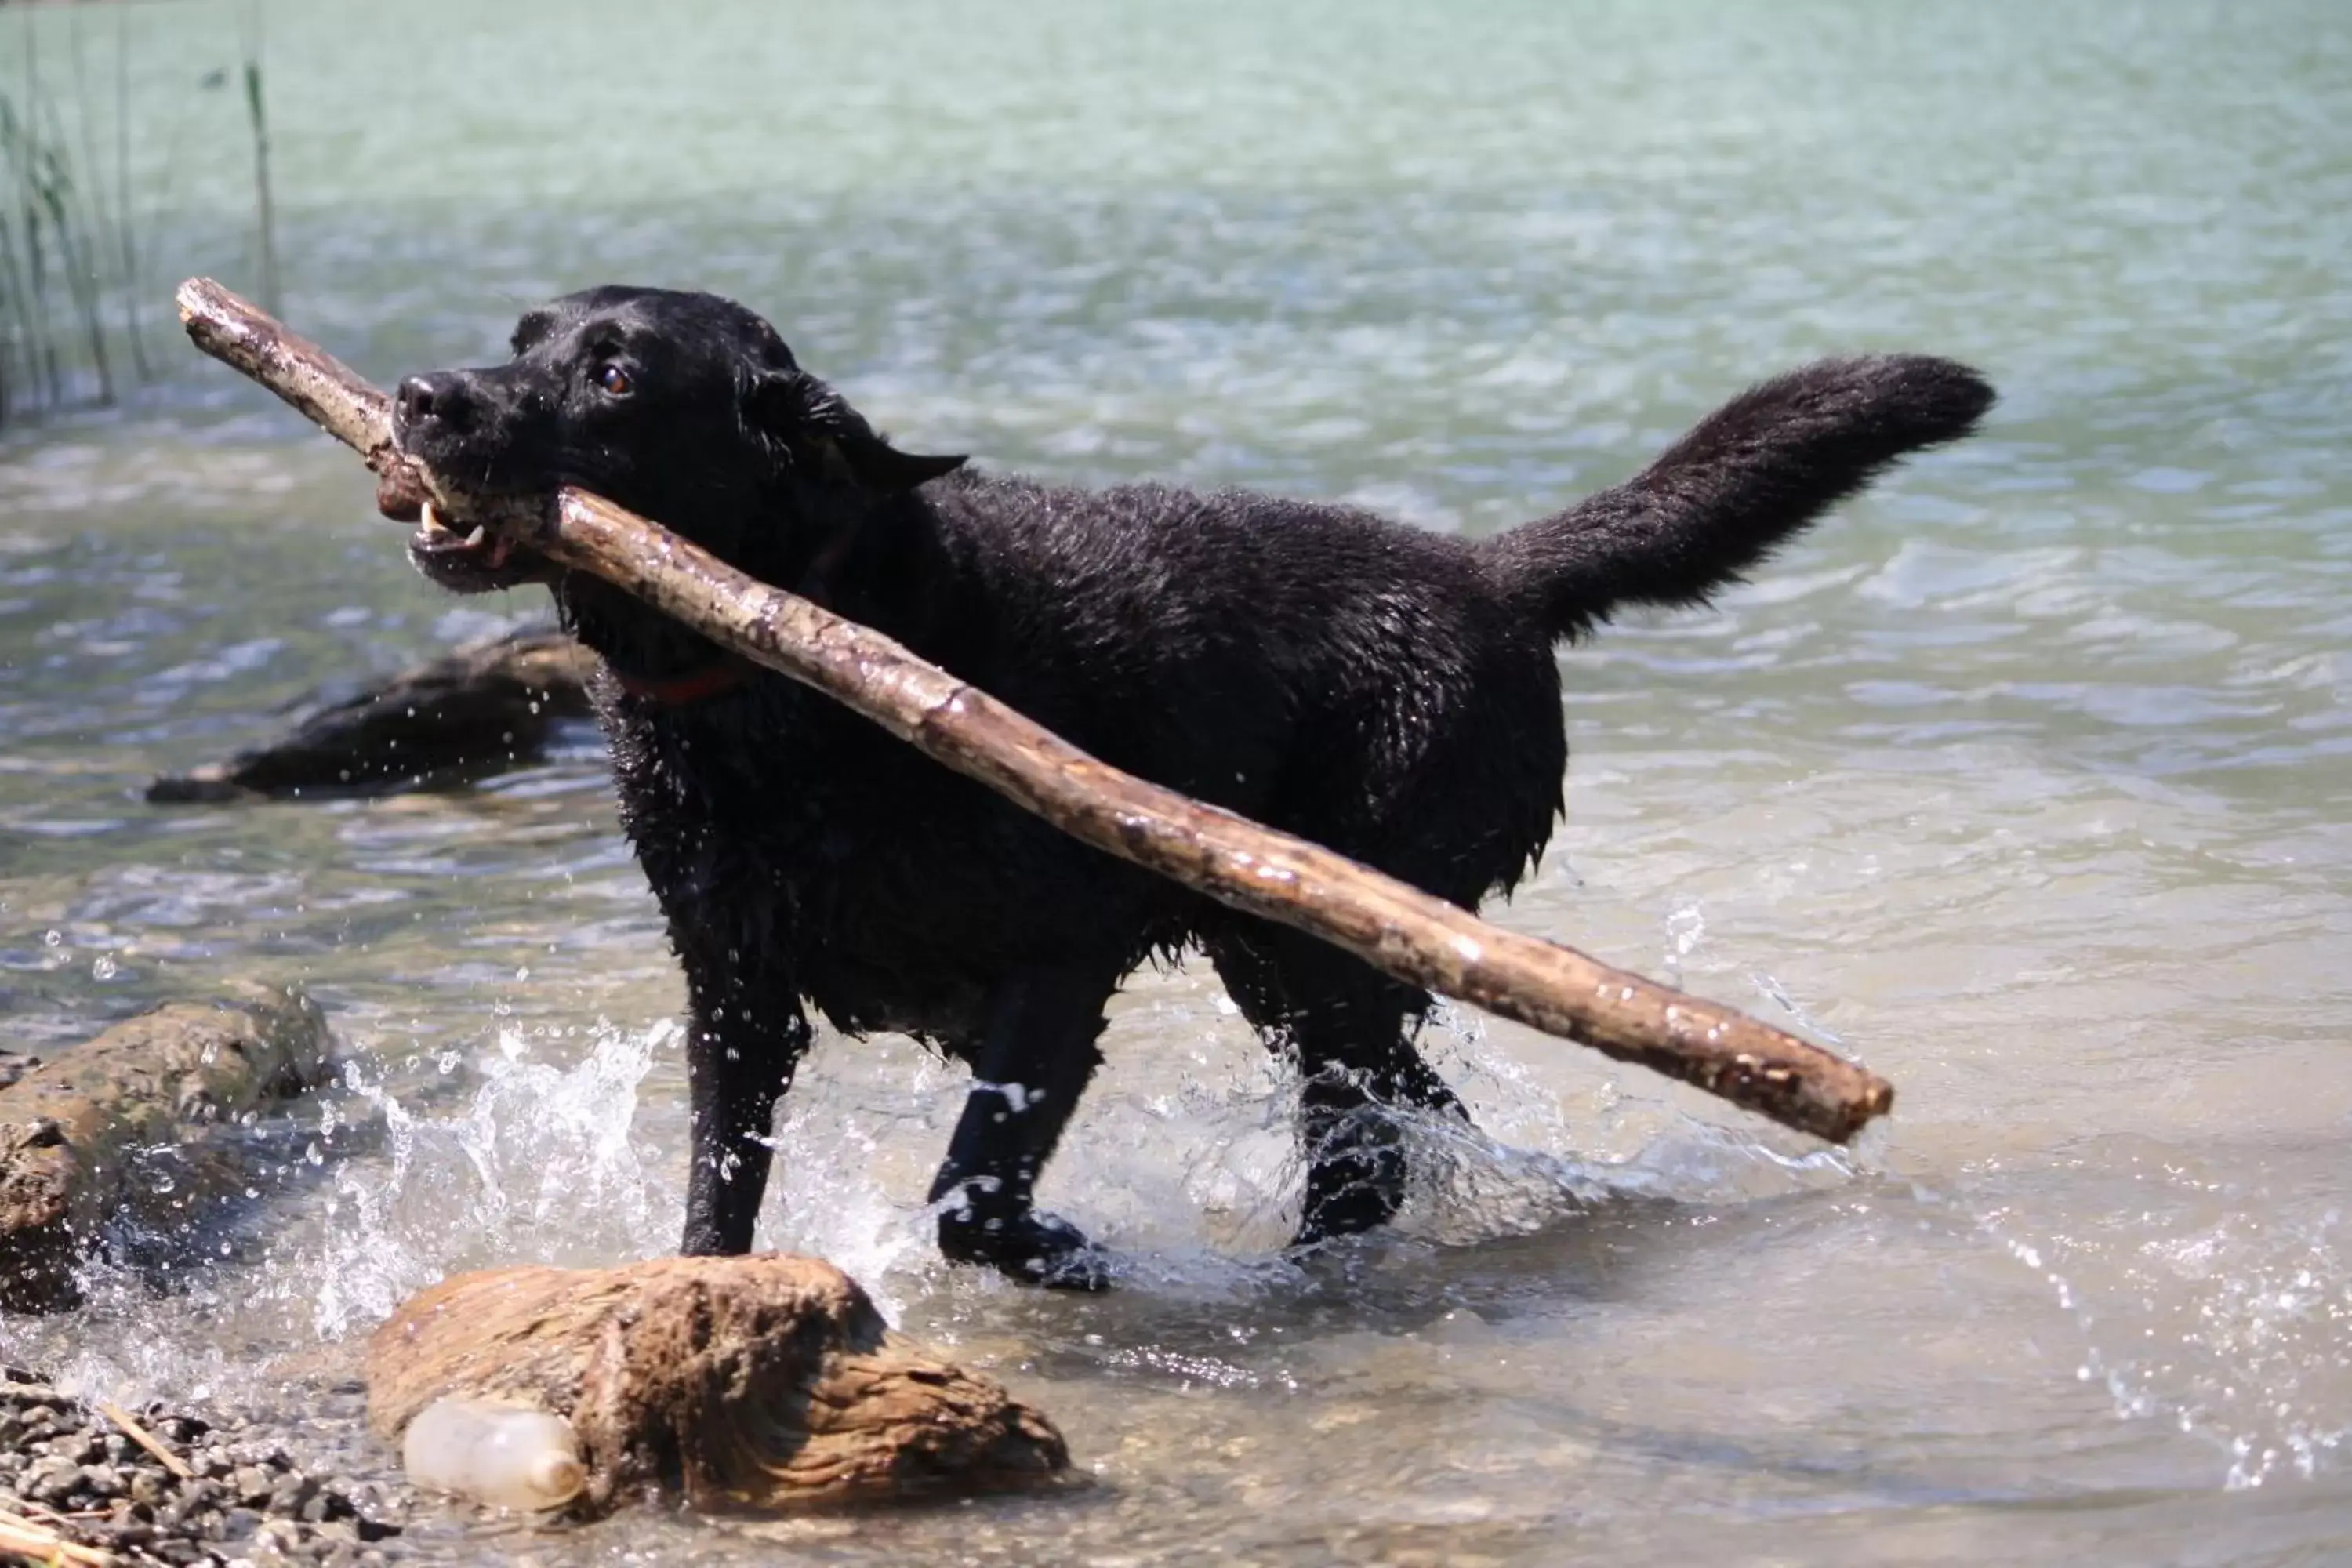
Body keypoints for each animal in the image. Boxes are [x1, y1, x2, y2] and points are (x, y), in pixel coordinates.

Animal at [381, 291, 1985, 1288]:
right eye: (522, 338)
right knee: (1407, 1123)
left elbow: (970, 1188)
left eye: (614, 374)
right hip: (1281, 961)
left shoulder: (1054, 969)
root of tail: (1488, 571)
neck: (788, 660)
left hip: (1329, 944)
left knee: (1369, 1144)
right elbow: (718, 1190)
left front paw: (1066, 1260)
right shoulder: (734, 992)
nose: (419, 393)